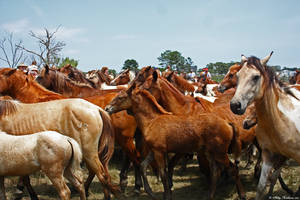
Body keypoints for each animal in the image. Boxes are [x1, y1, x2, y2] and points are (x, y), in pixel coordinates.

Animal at [106, 88, 245, 200]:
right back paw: (209, 196)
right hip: (210, 153)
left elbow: (163, 173)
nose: (107, 108)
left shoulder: (159, 152)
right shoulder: (154, 151)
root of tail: (227, 123)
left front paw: (166, 195)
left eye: (121, 97)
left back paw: (241, 194)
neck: (152, 120)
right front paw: (151, 192)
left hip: (220, 153)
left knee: (233, 169)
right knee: (216, 172)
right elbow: (143, 166)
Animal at [230, 52, 300, 199]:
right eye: (237, 76)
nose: (235, 105)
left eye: (256, 77)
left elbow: (274, 177)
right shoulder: (268, 154)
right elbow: (262, 186)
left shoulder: (285, 156)